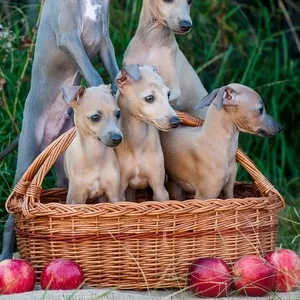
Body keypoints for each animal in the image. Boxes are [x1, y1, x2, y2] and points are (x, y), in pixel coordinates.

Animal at [115, 64, 180, 200]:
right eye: (149, 98)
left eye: (168, 94)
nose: (176, 122)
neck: (137, 140)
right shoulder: (120, 191)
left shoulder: (160, 190)